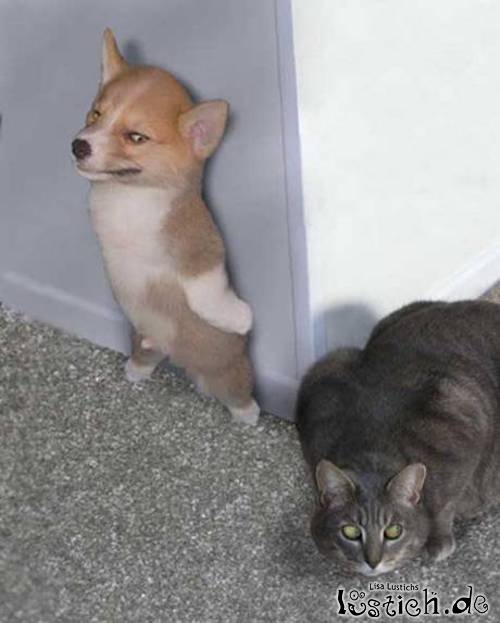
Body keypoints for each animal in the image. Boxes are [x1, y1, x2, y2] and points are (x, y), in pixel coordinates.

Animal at [72, 29, 259, 425]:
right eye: (97, 113)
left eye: (136, 137)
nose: (78, 146)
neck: (133, 198)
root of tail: (176, 356)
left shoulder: (202, 251)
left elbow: (206, 292)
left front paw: (239, 319)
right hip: (143, 339)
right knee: (146, 355)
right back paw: (136, 370)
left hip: (229, 375)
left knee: (238, 393)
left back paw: (248, 414)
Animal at [296, 300, 500, 576]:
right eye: (350, 532)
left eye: (393, 532)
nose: (373, 561)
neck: (372, 443)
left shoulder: (464, 419)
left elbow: (445, 503)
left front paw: (438, 540)